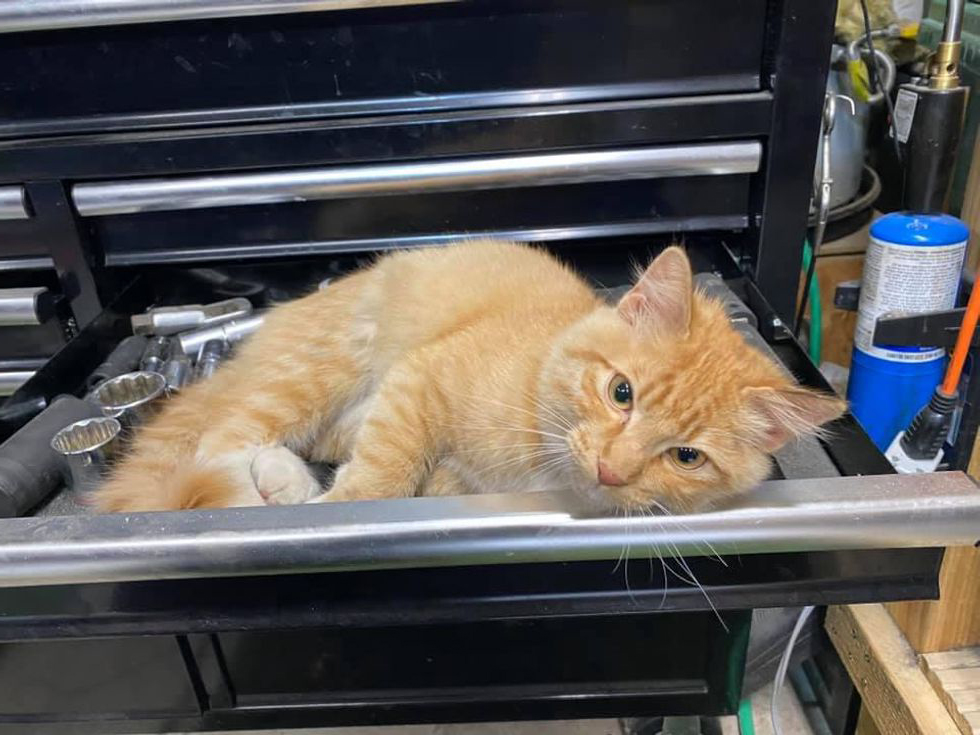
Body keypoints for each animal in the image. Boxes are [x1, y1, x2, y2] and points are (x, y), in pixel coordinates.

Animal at [95, 241, 845, 514]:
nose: (612, 469)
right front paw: (348, 502)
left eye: (686, 456)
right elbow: (385, 476)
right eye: (621, 392)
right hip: (317, 369)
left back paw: (286, 478)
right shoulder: (422, 377)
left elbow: (417, 476)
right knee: (221, 438)